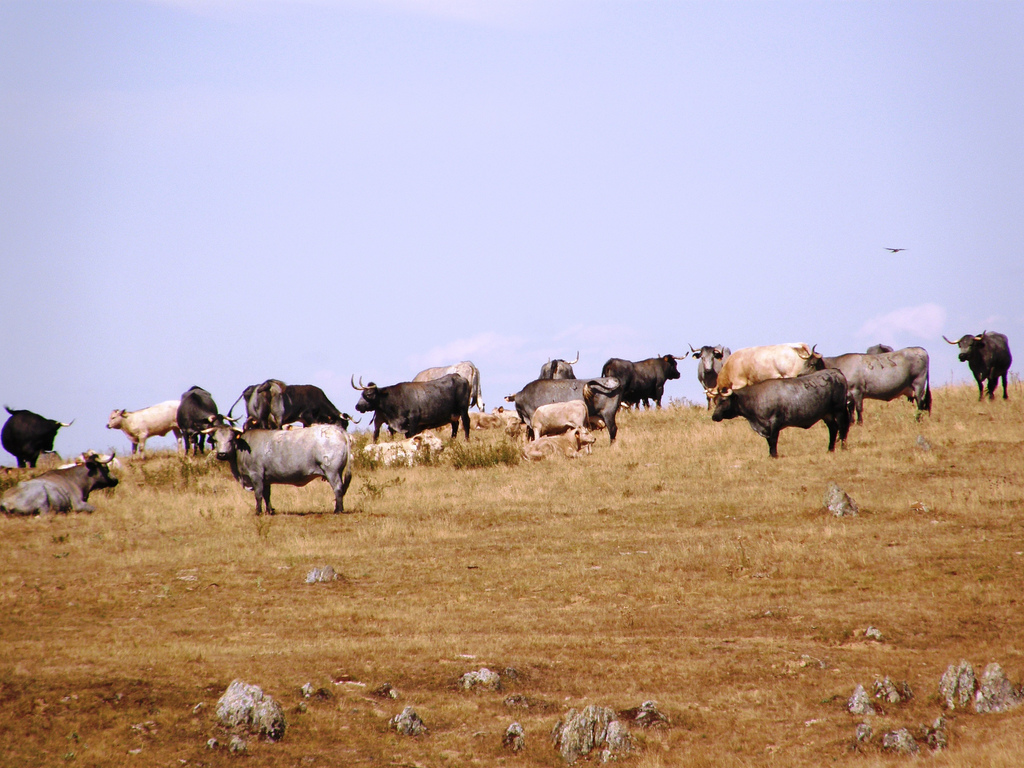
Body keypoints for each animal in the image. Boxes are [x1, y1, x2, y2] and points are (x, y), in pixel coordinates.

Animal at [205, 421, 354, 518]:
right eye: (215, 440)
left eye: (231, 439)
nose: (222, 454)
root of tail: (337, 429)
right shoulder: (266, 479)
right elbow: (267, 495)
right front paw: (270, 511)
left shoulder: (256, 475)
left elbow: (258, 495)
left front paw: (258, 512)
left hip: (332, 472)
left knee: (338, 488)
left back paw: (337, 510)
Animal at [712, 370, 847, 460]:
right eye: (716, 401)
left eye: (723, 400)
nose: (714, 416)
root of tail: (836, 372)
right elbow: (769, 441)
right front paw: (770, 455)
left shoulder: (774, 422)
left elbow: (773, 440)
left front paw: (774, 455)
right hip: (827, 414)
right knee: (833, 429)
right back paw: (830, 449)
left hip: (839, 409)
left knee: (842, 428)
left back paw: (843, 448)